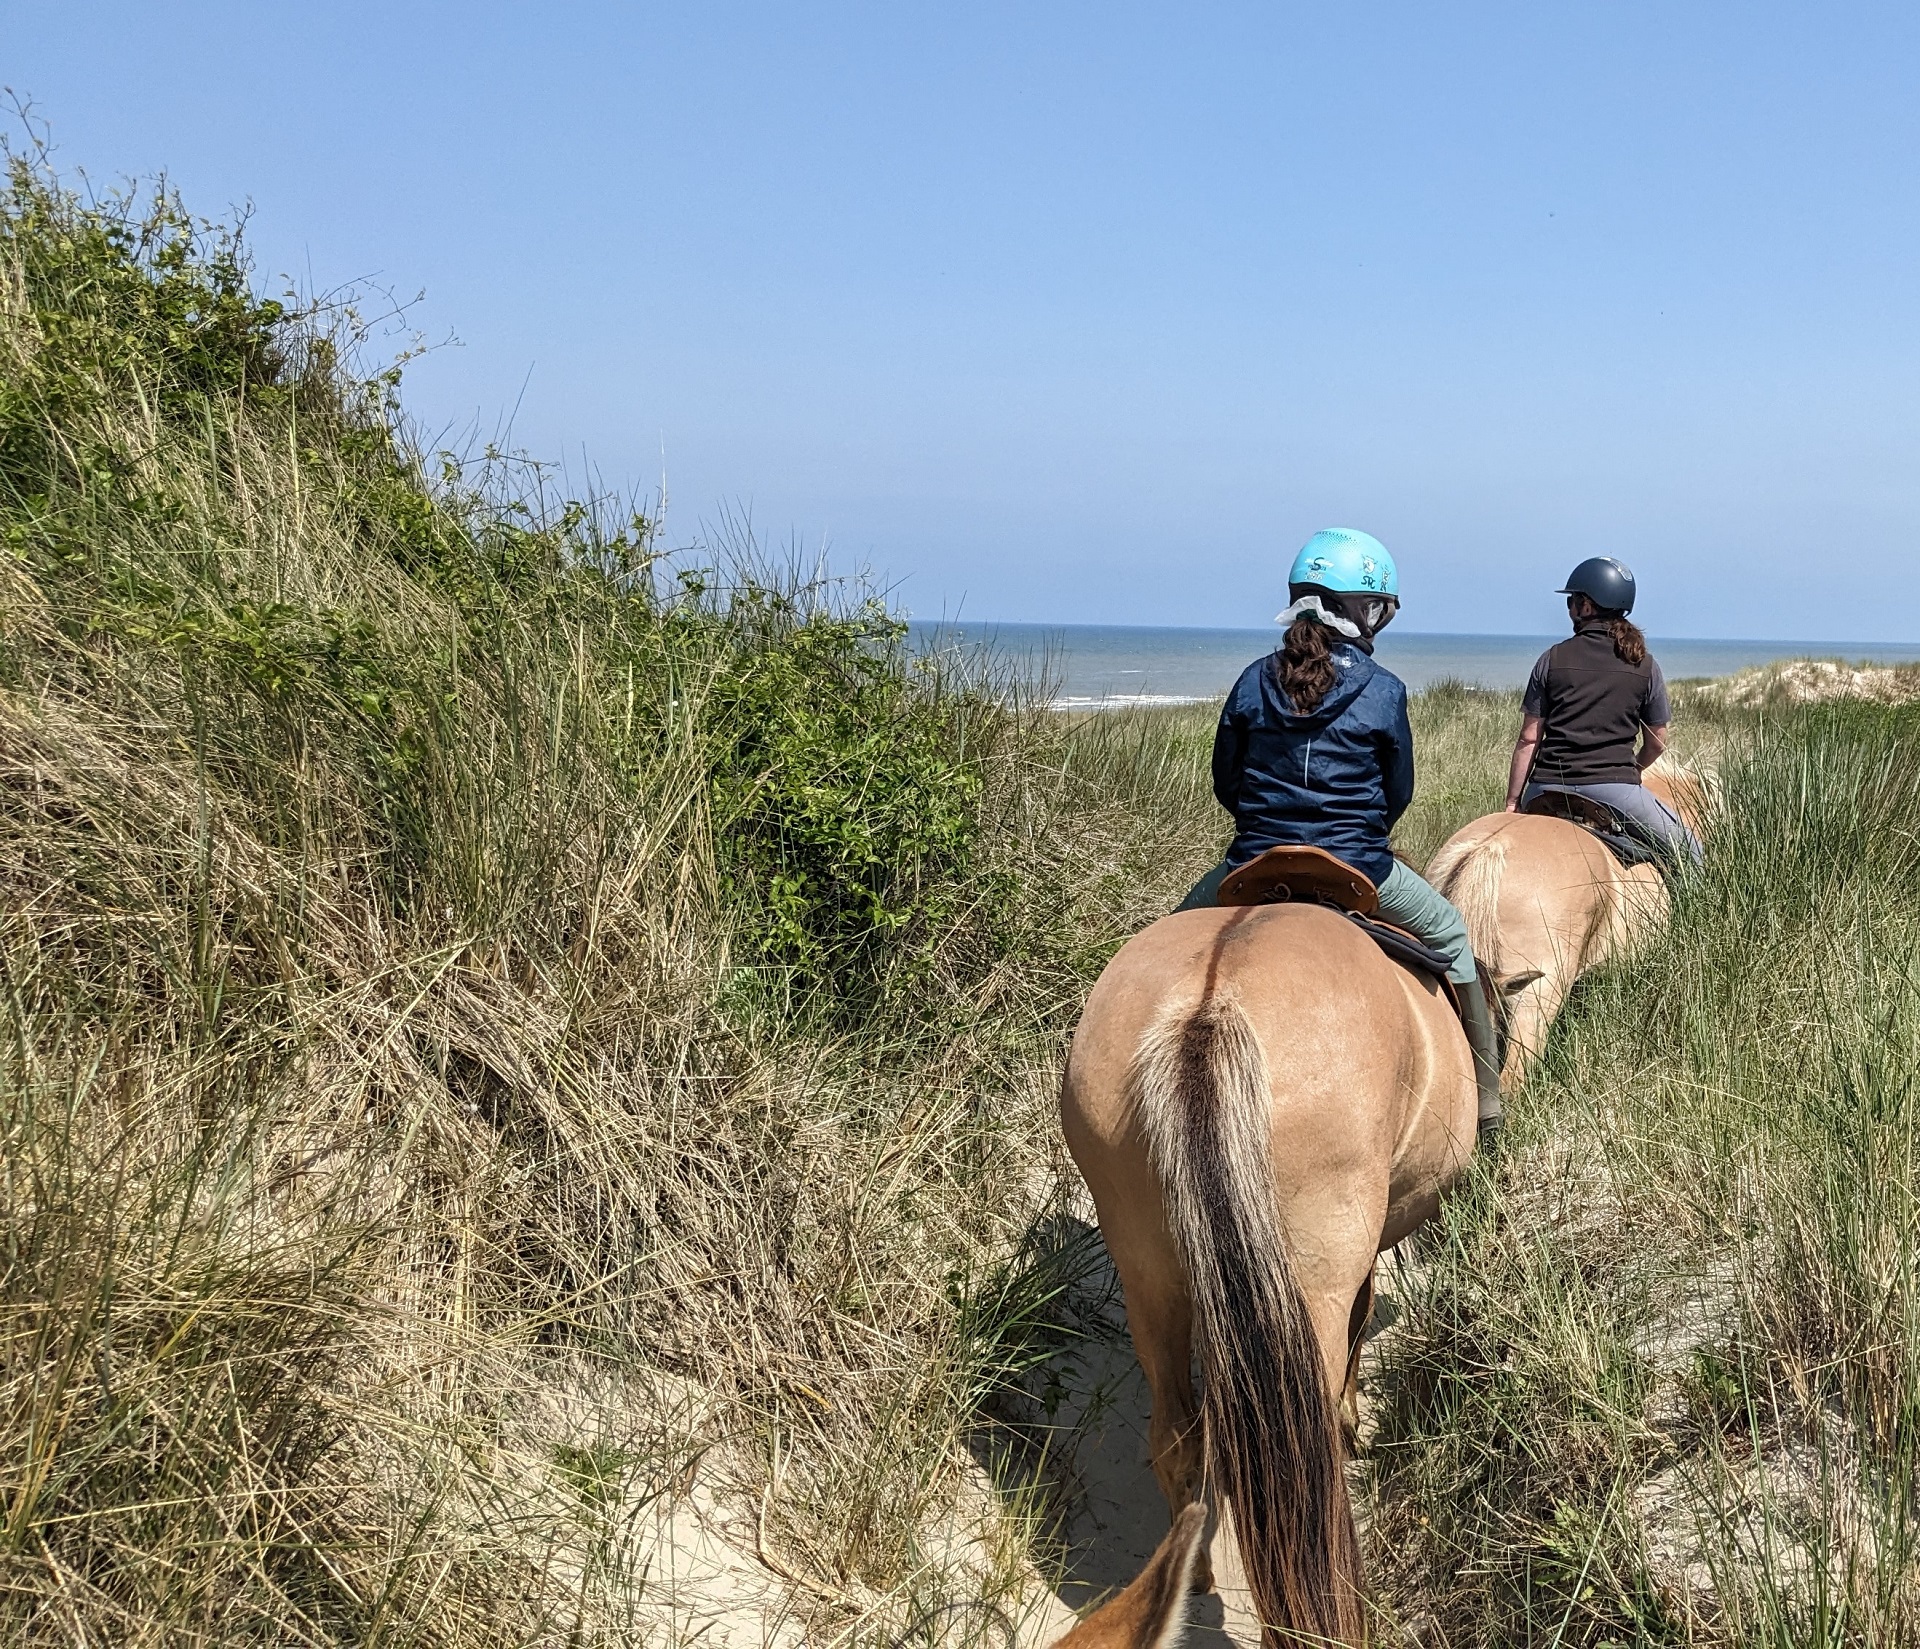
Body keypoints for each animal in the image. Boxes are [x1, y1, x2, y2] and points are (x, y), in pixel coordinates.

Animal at [1059, 902, 1474, 1649]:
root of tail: (1208, 1007)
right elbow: (1363, 1320)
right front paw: (1355, 1419)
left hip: (1148, 1277)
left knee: (1177, 1437)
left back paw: (1190, 1575)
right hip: (1312, 1282)